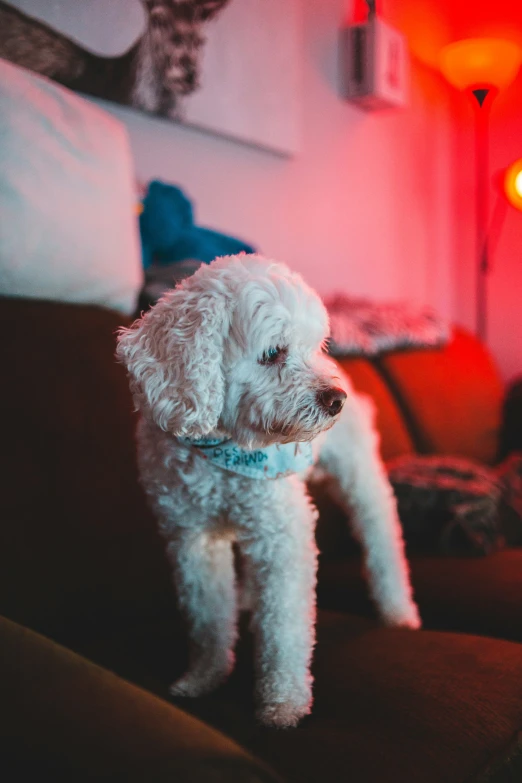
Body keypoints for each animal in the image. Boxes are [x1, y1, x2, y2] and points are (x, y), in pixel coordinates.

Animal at [117, 256, 418, 728]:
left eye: (317, 346)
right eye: (273, 352)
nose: (337, 400)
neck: (223, 449)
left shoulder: (283, 537)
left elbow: (285, 626)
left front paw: (284, 703)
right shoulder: (192, 541)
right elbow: (206, 619)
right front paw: (204, 677)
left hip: (360, 480)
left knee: (381, 535)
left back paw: (398, 611)